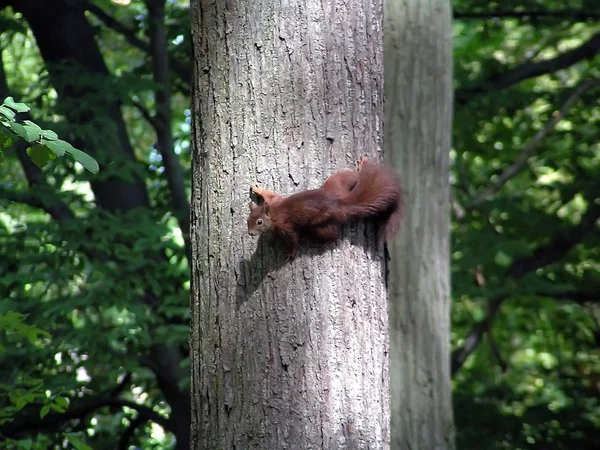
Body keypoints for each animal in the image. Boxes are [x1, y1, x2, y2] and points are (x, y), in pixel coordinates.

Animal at [248, 157, 404, 256]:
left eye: (259, 222)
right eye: (247, 220)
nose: (250, 233)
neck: (273, 213)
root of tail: (339, 204)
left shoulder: (285, 226)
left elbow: (294, 238)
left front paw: (291, 252)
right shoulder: (274, 201)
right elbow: (270, 194)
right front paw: (258, 189)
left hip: (319, 224)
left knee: (334, 234)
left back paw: (322, 244)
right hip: (337, 183)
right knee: (353, 176)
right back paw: (361, 167)